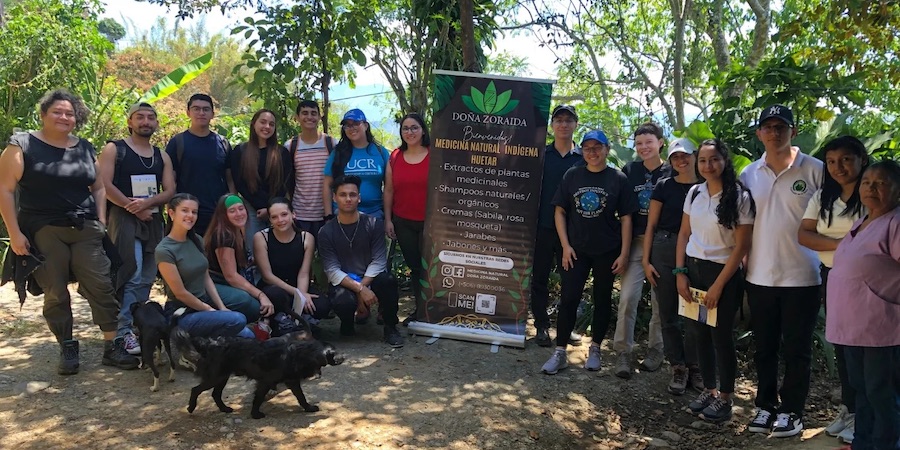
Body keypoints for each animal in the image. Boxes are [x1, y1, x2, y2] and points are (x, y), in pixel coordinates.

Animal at [172, 326, 344, 418]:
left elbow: (301, 397)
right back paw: (191, 408)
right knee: (195, 389)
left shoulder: (292, 381)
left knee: (215, 394)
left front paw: (308, 408)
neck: (299, 354)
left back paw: (225, 409)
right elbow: (259, 398)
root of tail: (210, 342)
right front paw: (255, 414)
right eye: (334, 352)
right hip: (215, 377)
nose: (344, 357)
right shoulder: (266, 382)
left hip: (222, 377)